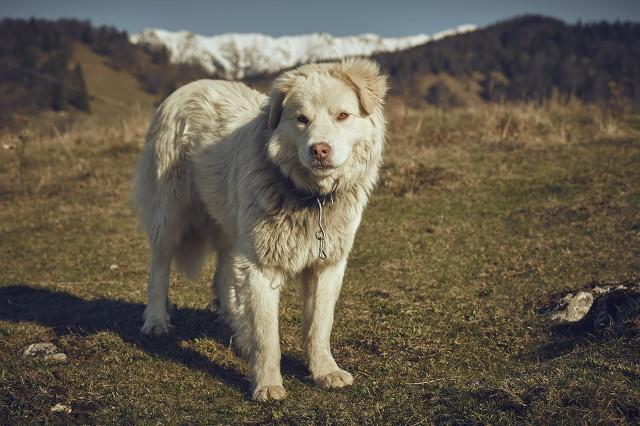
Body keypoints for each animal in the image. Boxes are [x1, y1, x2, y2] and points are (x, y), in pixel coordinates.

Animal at [133, 58, 388, 402]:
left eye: (343, 115)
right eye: (301, 119)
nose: (320, 150)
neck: (309, 196)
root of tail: (190, 86)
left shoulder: (327, 265)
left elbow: (320, 324)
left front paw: (325, 371)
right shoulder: (260, 265)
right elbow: (267, 334)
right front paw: (267, 385)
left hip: (232, 228)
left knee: (223, 275)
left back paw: (239, 332)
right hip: (171, 213)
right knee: (159, 267)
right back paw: (156, 320)